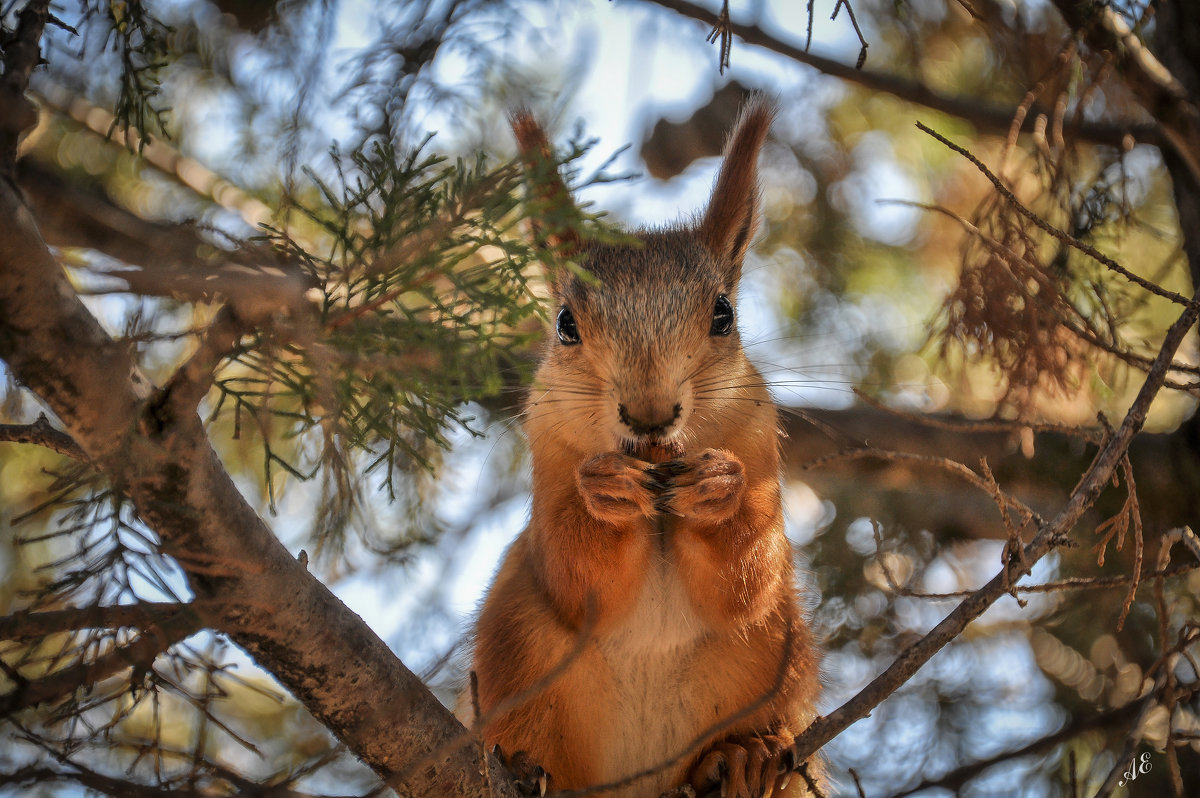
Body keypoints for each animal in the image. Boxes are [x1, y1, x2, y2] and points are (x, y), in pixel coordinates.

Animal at [463, 97, 820, 796]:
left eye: (723, 314)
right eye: (565, 324)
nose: (650, 415)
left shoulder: (758, 441)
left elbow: (748, 583)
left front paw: (720, 489)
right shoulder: (548, 451)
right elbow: (572, 573)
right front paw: (605, 494)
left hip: (778, 658)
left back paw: (743, 756)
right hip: (520, 656)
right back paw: (531, 773)